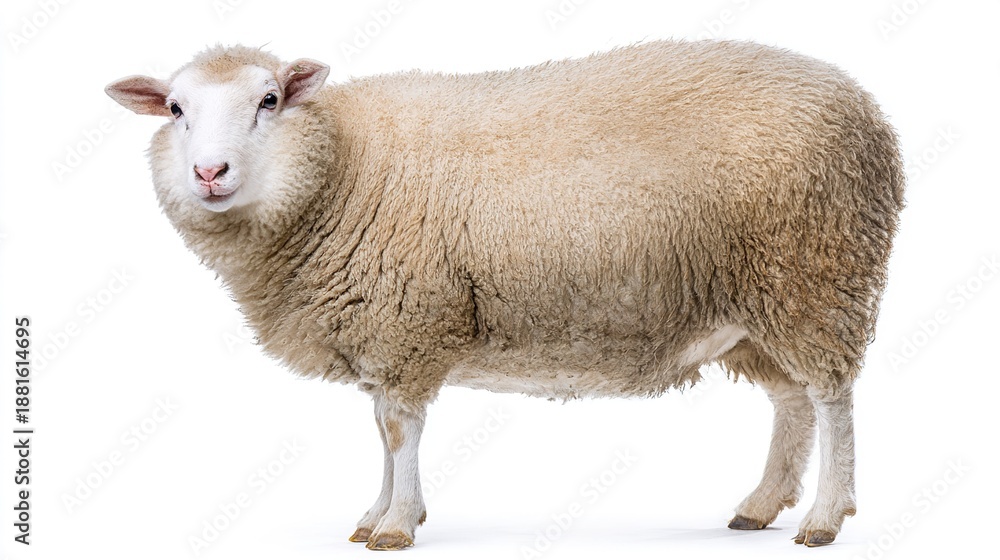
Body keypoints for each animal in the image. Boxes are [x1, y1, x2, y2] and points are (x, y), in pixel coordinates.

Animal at [105, 40, 905, 550]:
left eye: (268, 100)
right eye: (174, 109)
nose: (210, 172)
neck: (341, 169)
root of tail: (864, 105)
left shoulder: (408, 321)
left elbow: (399, 432)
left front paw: (395, 525)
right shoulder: (384, 330)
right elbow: (381, 429)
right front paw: (378, 512)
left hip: (815, 271)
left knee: (832, 401)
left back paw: (825, 518)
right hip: (756, 305)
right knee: (791, 401)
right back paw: (761, 507)